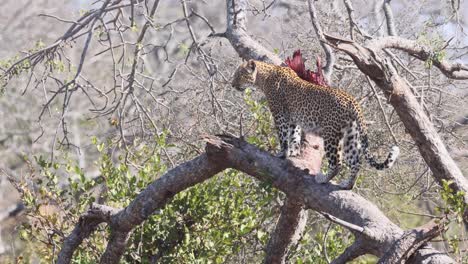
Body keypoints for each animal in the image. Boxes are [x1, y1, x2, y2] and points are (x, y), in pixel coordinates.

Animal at [230, 59, 398, 190]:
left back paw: (323, 179)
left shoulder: (280, 114)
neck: (263, 76)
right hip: (351, 135)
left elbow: (283, 136)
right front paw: (293, 152)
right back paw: (347, 185)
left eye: (238, 75)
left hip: (331, 134)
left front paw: (282, 153)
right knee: (356, 161)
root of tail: (352, 100)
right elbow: (294, 135)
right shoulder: (293, 119)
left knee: (337, 163)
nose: (232, 84)